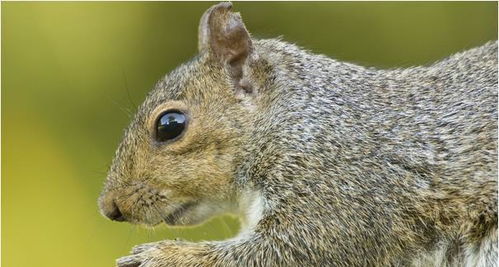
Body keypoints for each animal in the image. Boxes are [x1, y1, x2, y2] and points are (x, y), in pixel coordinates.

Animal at [99, 2, 498, 267]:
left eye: (170, 125)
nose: (109, 208)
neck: (291, 123)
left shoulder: (338, 192)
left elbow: (285, 250)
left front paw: (168, 254)